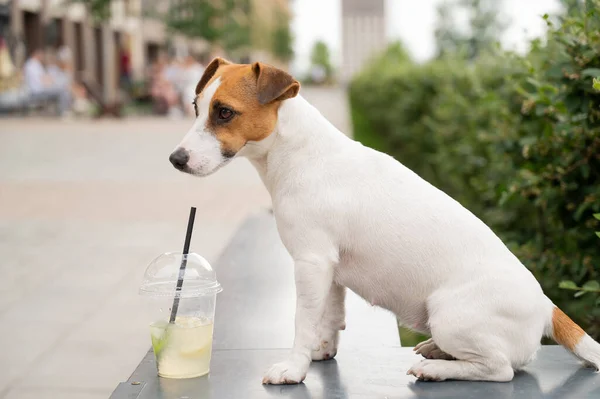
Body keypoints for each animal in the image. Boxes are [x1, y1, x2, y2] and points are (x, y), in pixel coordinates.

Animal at [169, 57, 600, 386]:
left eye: (225, 113)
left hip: (450, 314)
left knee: (500, 369)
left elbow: (303, 320)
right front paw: (321, 351)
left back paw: (436, 368)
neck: (302, 154)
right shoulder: (330, 271)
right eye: (195, 107)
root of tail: (546, 305)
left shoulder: (310, 263)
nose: (176, 159)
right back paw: (436, 351)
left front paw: (293, 368)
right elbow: (330, 317)